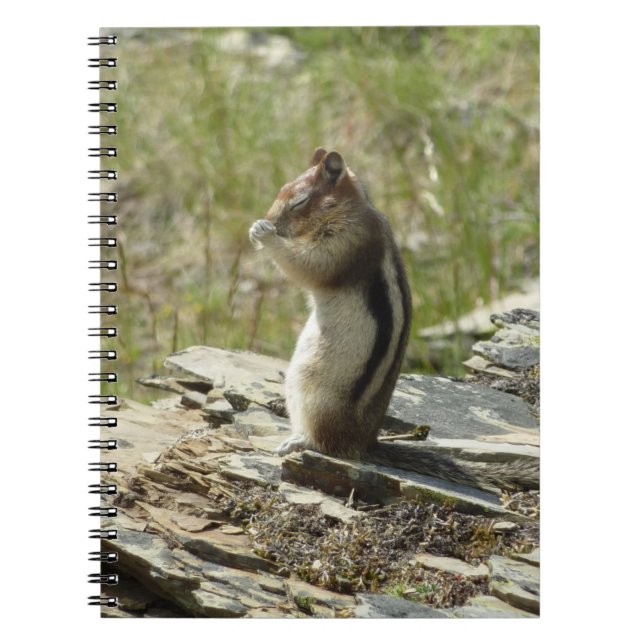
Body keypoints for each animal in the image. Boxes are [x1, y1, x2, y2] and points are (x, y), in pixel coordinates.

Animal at [250, 149, 538, 492]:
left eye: (299, 201)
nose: (271, 219)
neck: (349, 209)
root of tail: (364, 444)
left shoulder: (348, 241)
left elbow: (310, 265)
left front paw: (265, 233)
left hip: (311, 390)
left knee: (325, 443)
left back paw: (297, 442)